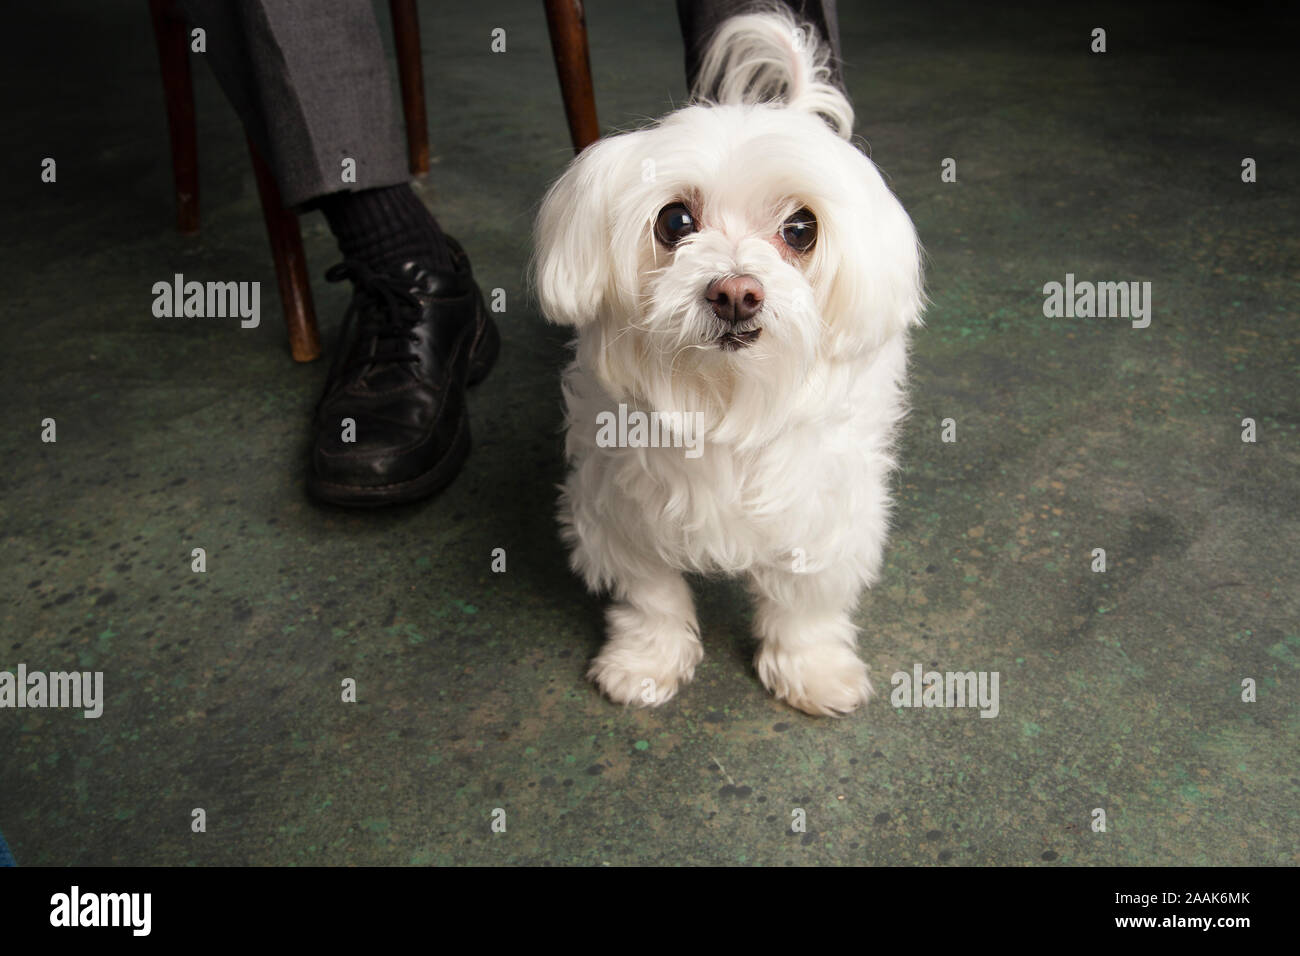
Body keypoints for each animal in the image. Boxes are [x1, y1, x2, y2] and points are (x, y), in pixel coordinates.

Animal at [533, 5, 920, 712]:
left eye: (801, 229)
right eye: (675, 221)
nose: (736, 293)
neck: (725, 398)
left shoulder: (826, 512)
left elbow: (806, 604)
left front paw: (813, 668)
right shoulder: (618, 507)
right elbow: (650, 597)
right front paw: (645, 662)